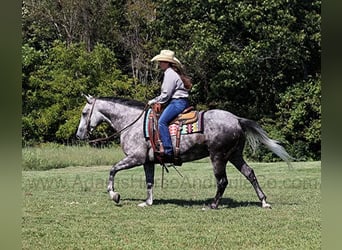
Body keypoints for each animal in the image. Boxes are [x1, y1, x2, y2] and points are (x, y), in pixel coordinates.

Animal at [75, 94, 292, 208]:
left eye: (85, 113)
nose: (79, 135)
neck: (131, 123)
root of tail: (237, 119)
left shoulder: (135, 158)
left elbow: (112, 170)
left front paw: (114, 195)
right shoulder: (147, 161)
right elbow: (149, 182)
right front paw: (148, 202)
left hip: (218, 156)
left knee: (222, 181)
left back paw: (213, 205)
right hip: (234, 155)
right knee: (250, 173)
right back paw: (263, 202)